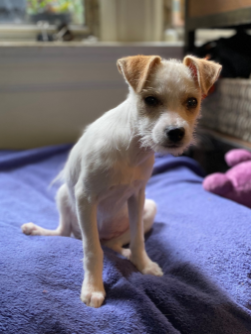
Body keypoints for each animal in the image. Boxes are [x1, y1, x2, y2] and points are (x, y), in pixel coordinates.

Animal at [21, 54, 222, 308]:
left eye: (192, 102)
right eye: (150, 99)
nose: (176, 132)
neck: (132, 149)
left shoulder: (137, 196)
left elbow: (138, 239)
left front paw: (143, 264)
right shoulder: (85, 198)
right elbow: (92, 250)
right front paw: (93, 288)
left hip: (149, 209)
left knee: (113, 244)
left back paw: (126, 254)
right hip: (64, 195)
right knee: (67, 233)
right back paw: (37, 230)